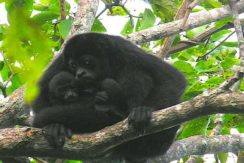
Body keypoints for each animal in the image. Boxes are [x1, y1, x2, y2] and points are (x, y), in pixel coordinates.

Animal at [31, 32, 186, 162]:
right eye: (73, 65)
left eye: (86, 62)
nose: (80, 73)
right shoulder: (62, 60)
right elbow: (40, 89)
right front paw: (54, 126)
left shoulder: (124, 48)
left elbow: (172, 78)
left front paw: (143, 111)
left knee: (135, 70)